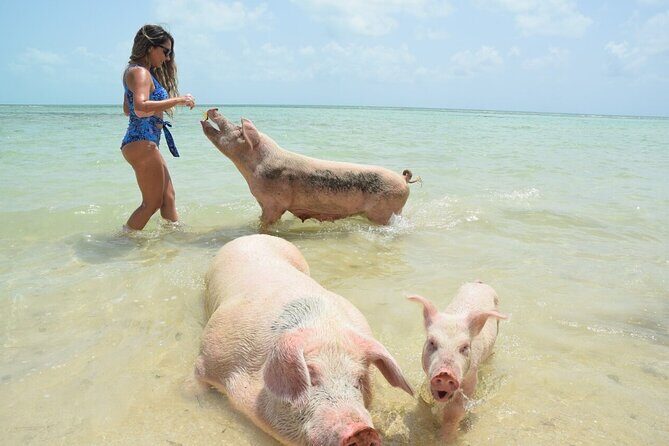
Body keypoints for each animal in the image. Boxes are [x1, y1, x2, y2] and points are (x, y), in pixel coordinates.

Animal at [192, 234, 414, 445]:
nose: (362, 431)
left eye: (358, 380)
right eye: (311, 377)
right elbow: (196, 380)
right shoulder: (209, 355)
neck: (324, 328)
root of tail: (255, 236)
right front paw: (195, 395)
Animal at [200, 108, 417, 227]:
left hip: (387, 209)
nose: (214, 108)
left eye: (238, 129)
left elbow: (267, 222)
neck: (253, 170)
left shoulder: (274, 204)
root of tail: (404, 179)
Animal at [408, 282, 507, 440]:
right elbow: (424, 400)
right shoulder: (427, 379)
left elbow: (454, 411)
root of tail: (479, 282)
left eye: (465, 347)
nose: (445, 373)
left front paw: (445, 438)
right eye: (431, 342)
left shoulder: (471, 379)